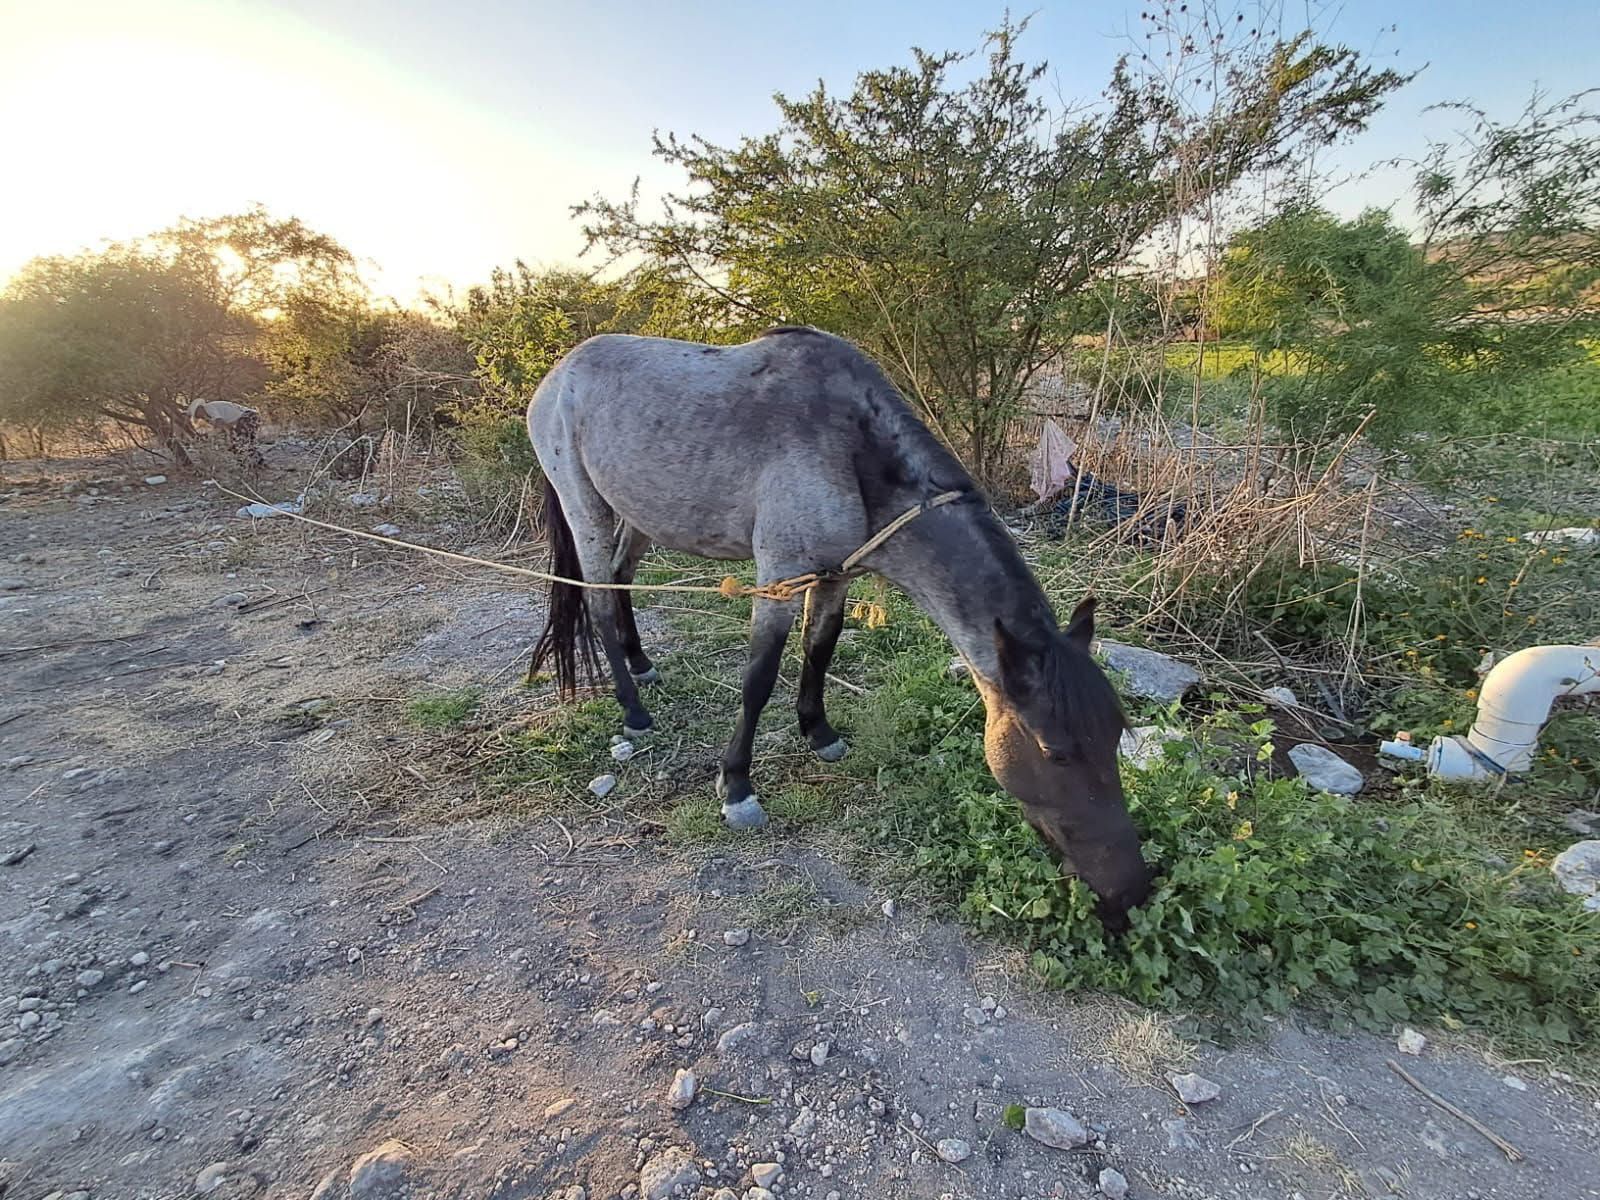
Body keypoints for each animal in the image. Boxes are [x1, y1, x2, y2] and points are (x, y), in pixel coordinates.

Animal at [525, 326, 1153, 929]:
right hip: (586, 509)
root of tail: (557, 374)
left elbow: (820, 650)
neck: (854, 449)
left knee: (622, 580)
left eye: (1115, 737)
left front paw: (818, 732)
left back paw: (641, 663)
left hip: (639, 514)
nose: (1128, 893)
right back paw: (633, 711)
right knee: (599, 602)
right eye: (1055, 752)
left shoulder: (833, 577)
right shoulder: (778, 577)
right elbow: (758, 680)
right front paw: (737, 788)